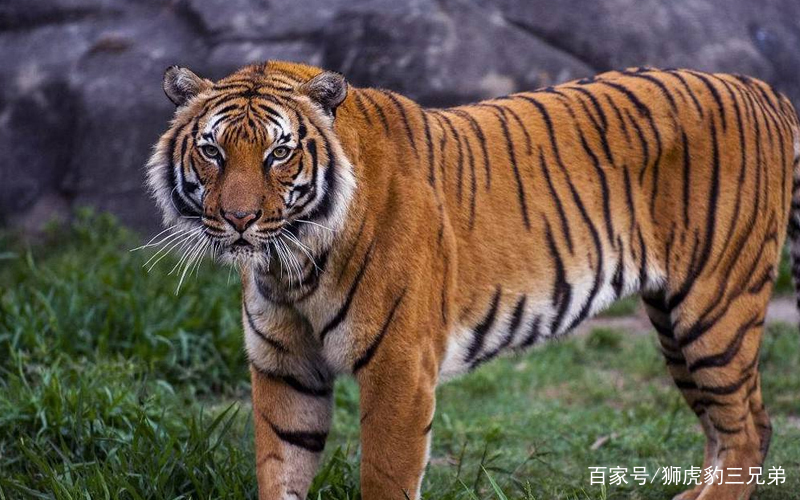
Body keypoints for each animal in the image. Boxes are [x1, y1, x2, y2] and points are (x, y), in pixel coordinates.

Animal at [145, 60, 800, 500]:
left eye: (279, 154)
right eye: (212, 151)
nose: (239, 219)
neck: (290, 263)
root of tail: (761, 88)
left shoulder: (399, 367)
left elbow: (385, 475)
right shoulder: (286, 367)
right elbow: (280, 467)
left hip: (714, 305)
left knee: (746, 428)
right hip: (673, 320)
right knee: (739, 423)